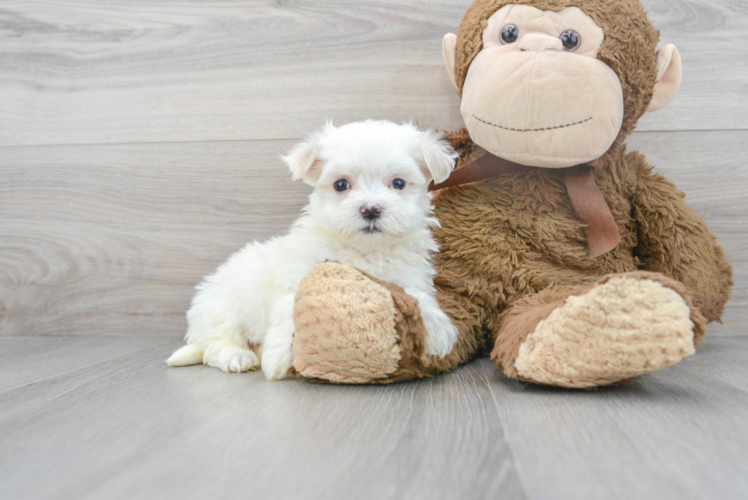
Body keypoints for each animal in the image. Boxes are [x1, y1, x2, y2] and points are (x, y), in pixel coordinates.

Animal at [167, 121, 458, 378]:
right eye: (341, 184)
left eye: (398, 183)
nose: (371, 209)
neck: (363, 251)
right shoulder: (298, 277)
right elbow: (289, 310)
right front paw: (275, 360)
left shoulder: (406, 276)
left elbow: (418, 297)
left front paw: (439, 331)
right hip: (223, 307)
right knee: (216, 344)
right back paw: (238, 356)